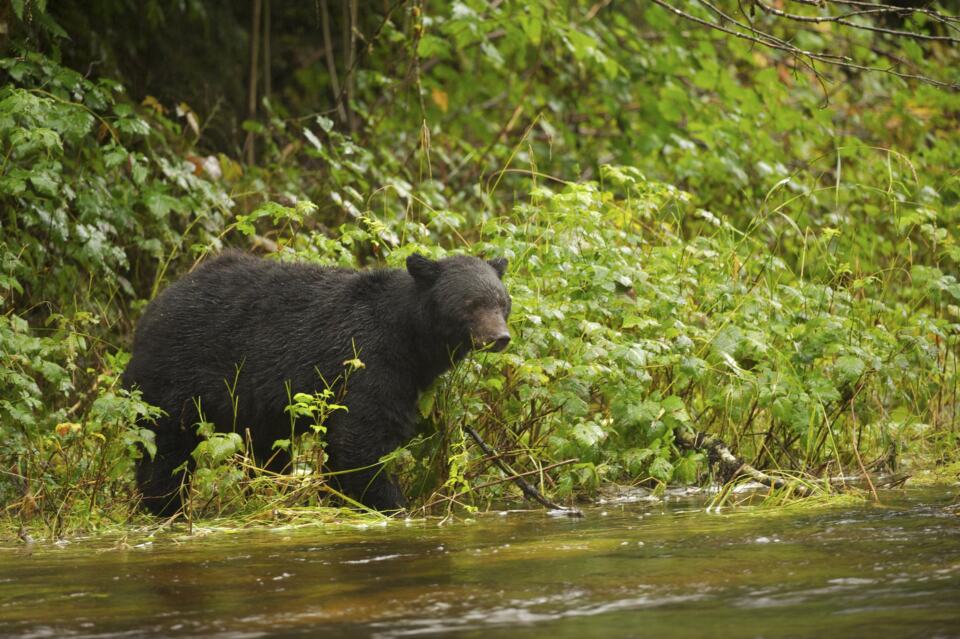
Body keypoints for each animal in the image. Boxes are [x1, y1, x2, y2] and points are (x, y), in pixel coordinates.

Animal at [125, 252, 510, 516]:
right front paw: (391, 505)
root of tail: (153, 308)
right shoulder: (365, 359)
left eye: (502, 302)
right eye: (471, 303)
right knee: (164, 446)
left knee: (267, 453)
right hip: (176, 374)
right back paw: (165, 507)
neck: (410, 338)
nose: (500, 337)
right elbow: (362, 441)